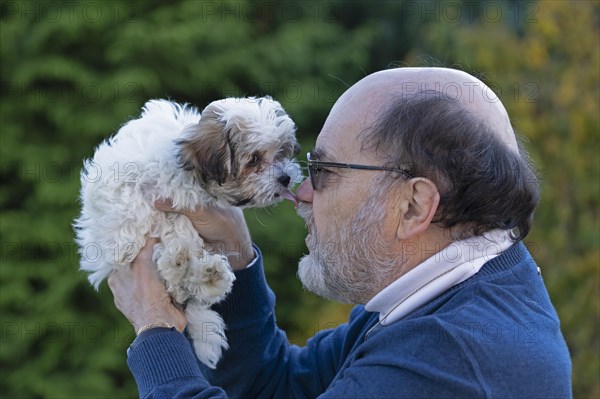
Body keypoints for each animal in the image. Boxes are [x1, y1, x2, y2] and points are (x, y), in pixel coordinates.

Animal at [75, 97, 300, 368]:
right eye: (254, 160)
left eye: (281, 153)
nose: (285, 178)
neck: (187, 173)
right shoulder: (124, 179)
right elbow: (134, 205)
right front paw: (128, 243)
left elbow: (179, 223)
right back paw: (180, 263)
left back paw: (205, 273)